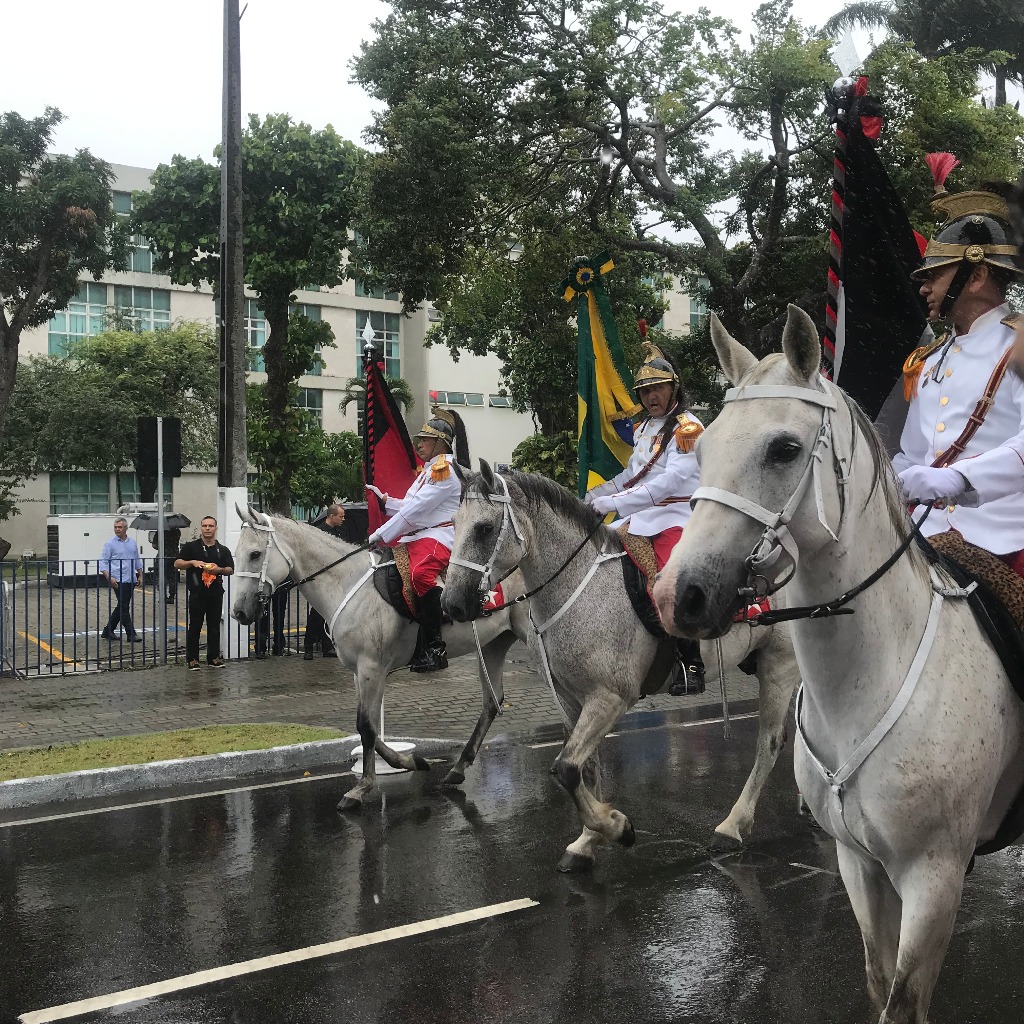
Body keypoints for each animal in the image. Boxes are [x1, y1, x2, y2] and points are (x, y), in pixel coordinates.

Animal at [229, 503, 532, 806]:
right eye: (236, 554)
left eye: (255, 554)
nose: (239, 612)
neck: (347, 583)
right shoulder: (359, 672)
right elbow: (368, 727)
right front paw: (410, 761)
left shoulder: (372, 669)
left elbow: (366, 727)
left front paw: (363, 787)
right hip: (493, 644)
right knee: (492, 702)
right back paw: (458, 768)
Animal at [444, 466, 802, 872]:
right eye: (453, 523)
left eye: (484, 528)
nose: (451, 604)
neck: (582, 587)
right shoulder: (573, 700)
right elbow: (584, 769)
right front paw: (587, 841)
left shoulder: (610, 698)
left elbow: (565, 768)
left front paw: (617, 827)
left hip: (780, 664)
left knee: (769, 743)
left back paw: (732, 826)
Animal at [655, 305, 1024, 1024]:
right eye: (702, 450)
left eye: (784, 449)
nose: (676, 596)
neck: (864, 684)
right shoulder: (859, 862)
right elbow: (880, 982)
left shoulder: (934, 877)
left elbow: (903, 1002)